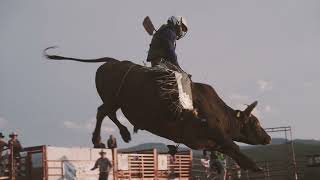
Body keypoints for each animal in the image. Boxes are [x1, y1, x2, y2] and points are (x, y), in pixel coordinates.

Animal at [44, 48, 270, 172]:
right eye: (255, 122)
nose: (267, 138)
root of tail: (113, 62)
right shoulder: (215, 132)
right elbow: (234, 146)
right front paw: (254, 165)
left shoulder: (207, 141)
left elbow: (229, 149)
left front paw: (247, 164)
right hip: (113, 99)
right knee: (103, 112)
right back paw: (102, 139)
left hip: (115, 101)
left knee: (107, 112)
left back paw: (122, 135)